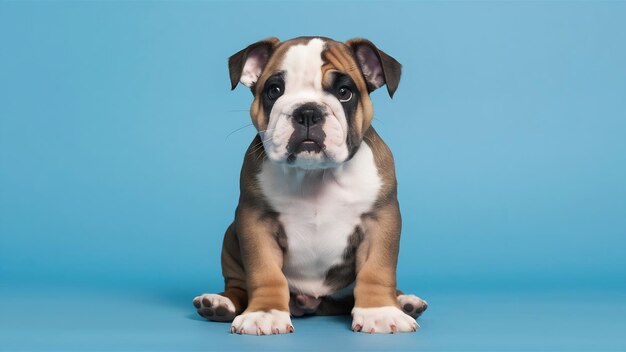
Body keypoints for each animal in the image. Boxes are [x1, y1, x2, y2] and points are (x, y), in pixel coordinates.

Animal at [193, 36, 426, 336]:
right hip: (230, 238)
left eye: (344, 92)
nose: (307, 111)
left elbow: (377, 269)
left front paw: (380, 311)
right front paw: (265, 313)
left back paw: (405, 301)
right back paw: (219, 304)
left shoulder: (380, 221)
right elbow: (265, 273)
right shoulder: (255, 222)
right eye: (274, 90)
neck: (315, 174)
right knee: (237, 286)